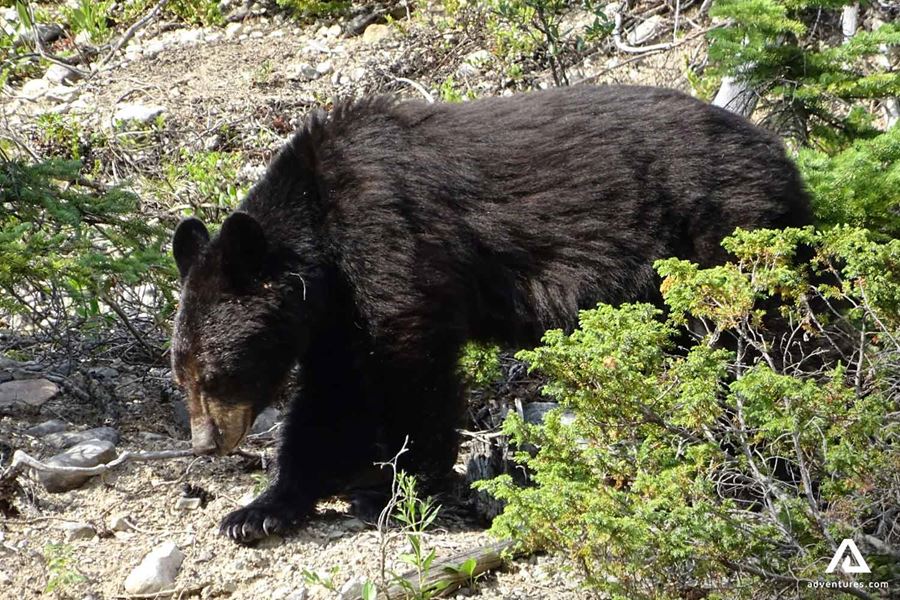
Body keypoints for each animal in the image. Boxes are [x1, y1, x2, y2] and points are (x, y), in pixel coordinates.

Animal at [170, 85, 811, 543]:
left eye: (215, 373)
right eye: (184, 373)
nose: (204, 444)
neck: (321, 224)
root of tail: (782, 154)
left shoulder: (389, 246)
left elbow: (409, 368)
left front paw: (400, 490)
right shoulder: (335, 315)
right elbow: (331, 399)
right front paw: (259, 511)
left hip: (721, 237)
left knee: (755, 347)